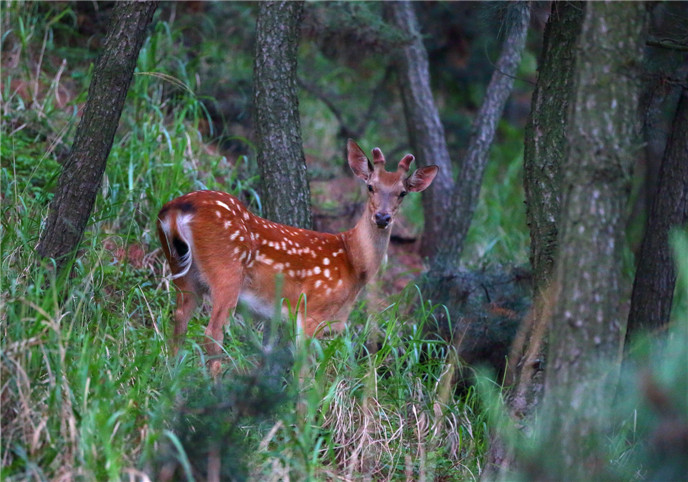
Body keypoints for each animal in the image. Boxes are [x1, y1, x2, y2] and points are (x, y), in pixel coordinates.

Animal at [157, 139, 436, 372]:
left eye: (402, 192)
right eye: (370, 186)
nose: (382, 217)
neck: (354, 262)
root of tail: (177, 209)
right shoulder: (313, 310)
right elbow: (305, 367)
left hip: (182, 269)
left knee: (178, 320)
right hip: (227, 271)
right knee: (212, 333)